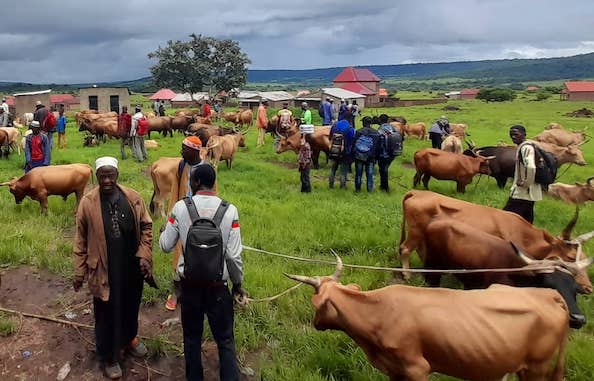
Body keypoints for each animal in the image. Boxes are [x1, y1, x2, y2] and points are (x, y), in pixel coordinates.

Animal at [286, 255, 568, 380]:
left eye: (317, 304)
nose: (315, 323)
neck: (378, 313)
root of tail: (551, 296)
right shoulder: (395, 371)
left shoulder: (417, 369)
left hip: (536, 367)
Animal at [398, 189, 592, 290]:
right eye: (569, 257)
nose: (589, 288)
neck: (523, 235)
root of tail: (417, 192)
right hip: (415, 232)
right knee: (405, 249)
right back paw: (407, 274)